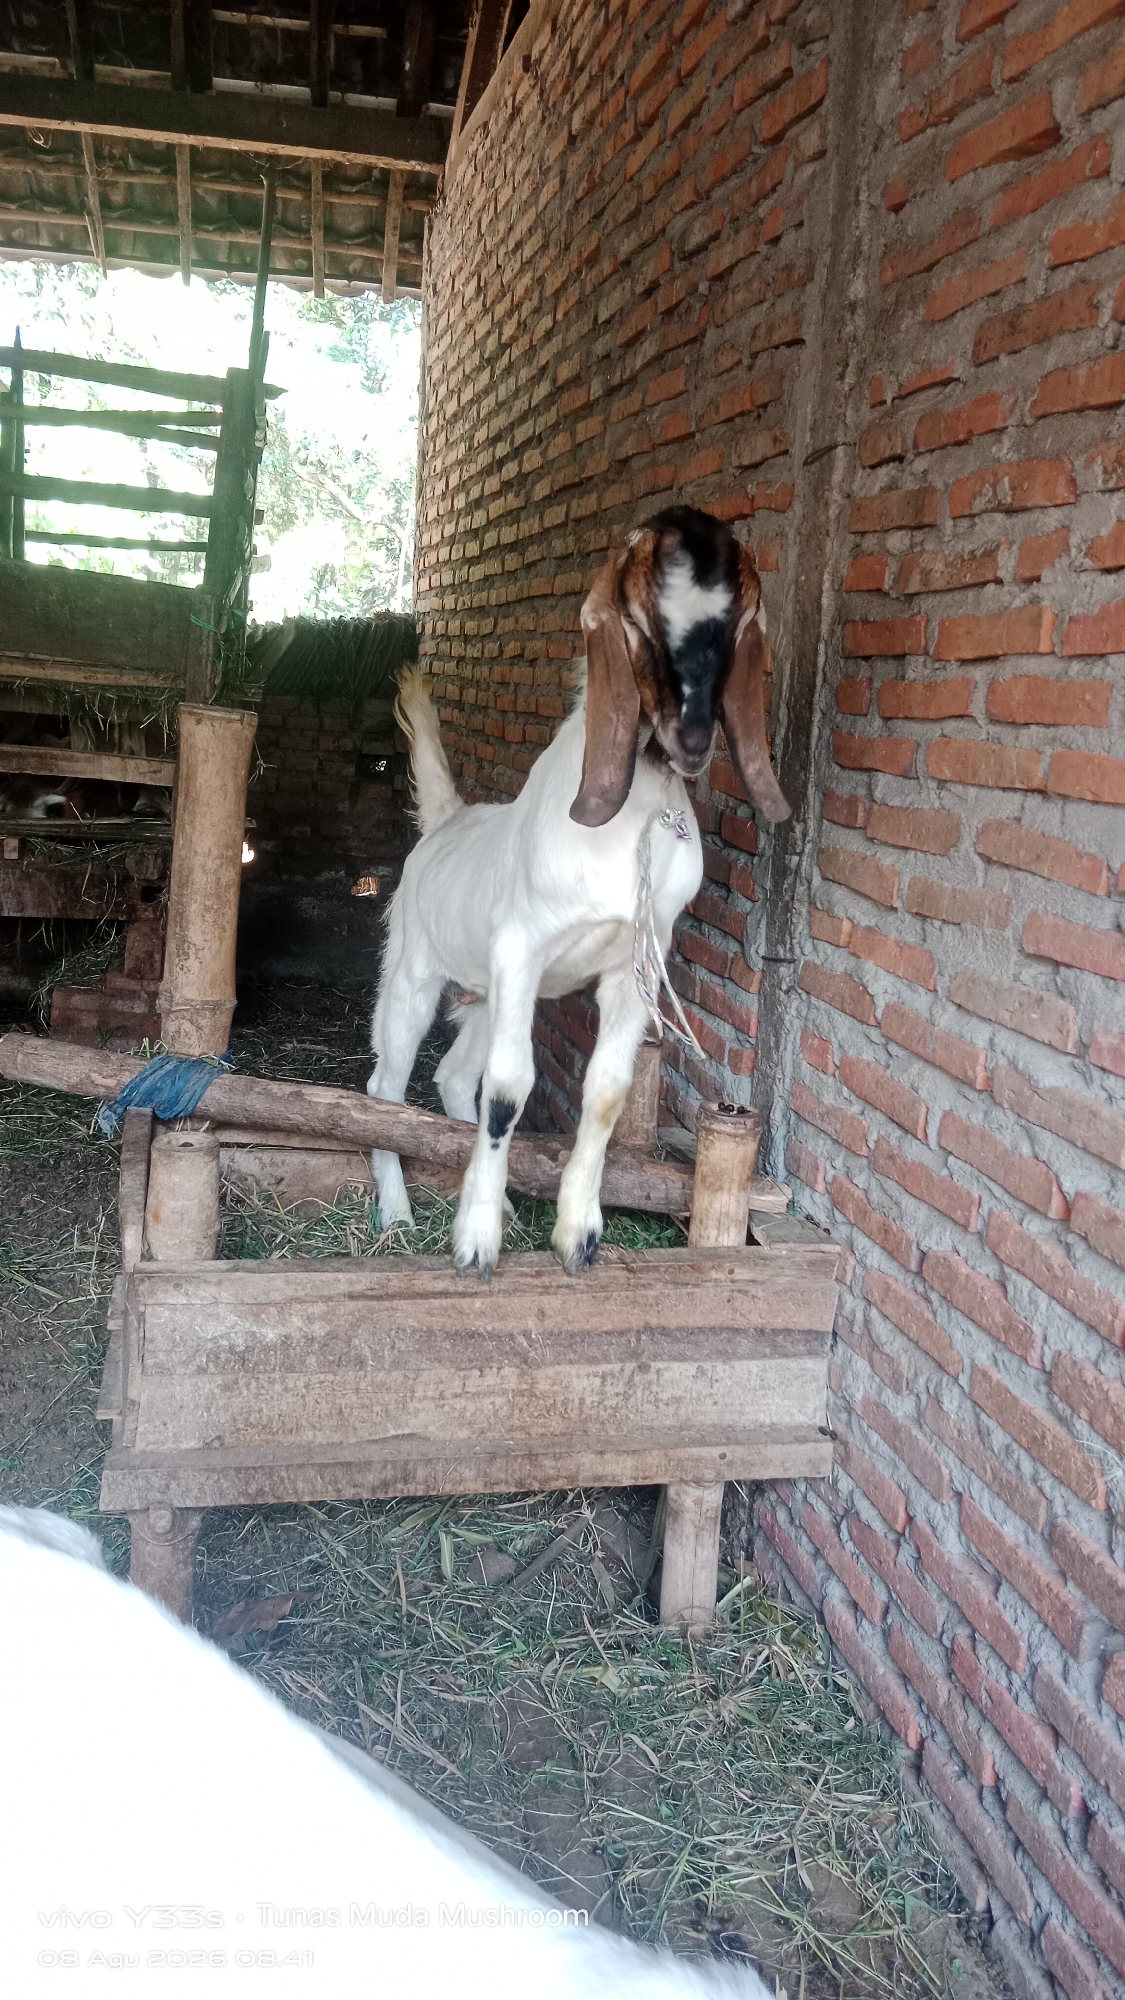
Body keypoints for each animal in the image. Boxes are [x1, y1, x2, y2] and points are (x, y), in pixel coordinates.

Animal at [368, 506, 790, 1281]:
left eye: (733, 622)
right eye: (642, 617)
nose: (691, 739)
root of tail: (448, 822)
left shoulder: (634, 967)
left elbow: (605, 1092)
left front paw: (577, 1236)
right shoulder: (522, 947)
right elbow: (509, 1090)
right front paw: (476, 1244)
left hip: (490, 995)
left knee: (451, 1077)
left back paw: (497, 1200)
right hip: (413, 972)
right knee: (387, 1087)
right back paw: (399, 1213)